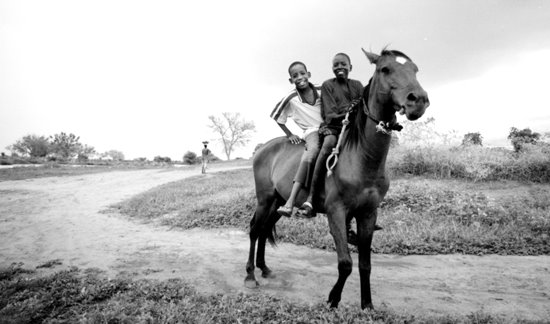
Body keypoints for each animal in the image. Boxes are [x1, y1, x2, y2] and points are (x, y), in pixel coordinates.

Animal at [246, 47, 432, 308]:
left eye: (415, 69)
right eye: (385, 69)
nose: (419, 100)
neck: (361, 158)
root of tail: (262, 148)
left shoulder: (368, 214)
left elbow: (365, 265)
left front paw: (367, 305)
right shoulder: (336, 212)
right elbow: (345, 264)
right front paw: (333, 300)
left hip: (278, 201)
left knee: (264, 229)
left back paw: (263, 268)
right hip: (264, 199)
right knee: (254, 230)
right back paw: (250, 275)